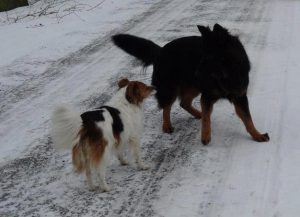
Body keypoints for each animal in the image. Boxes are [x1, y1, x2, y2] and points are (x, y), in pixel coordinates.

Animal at [112, 24, 270, 144]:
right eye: (202, 56)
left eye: (209, 58)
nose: (196, 73)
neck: (227, 73)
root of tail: (161, 50)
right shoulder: (207, 96)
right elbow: (207, 119)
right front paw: (205, 137)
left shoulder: (240, 97)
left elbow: (248, 119)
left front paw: (257, 135)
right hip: (171, 88)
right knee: (167, 107)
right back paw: (167, 125)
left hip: (193, 87)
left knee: (184, 103)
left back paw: (198, 113)